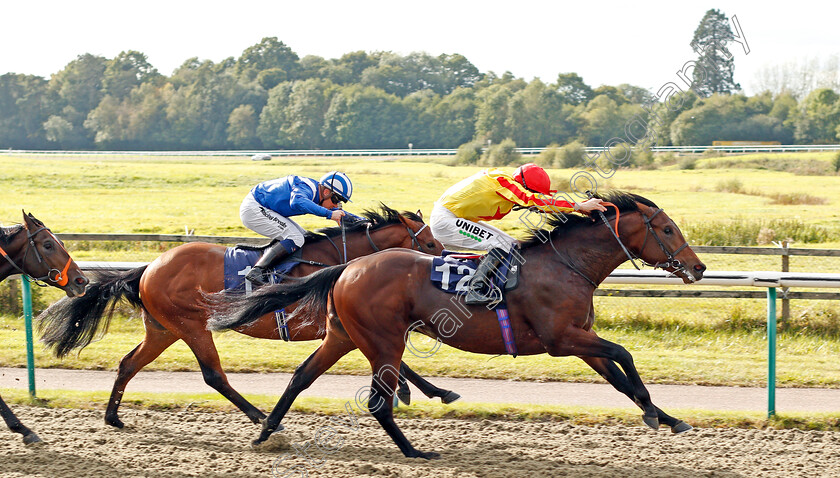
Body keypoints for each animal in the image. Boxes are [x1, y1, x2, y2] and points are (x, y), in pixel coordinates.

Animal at [38, 205, 456, 430]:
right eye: (428, 241)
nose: (444, 263)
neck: (335, 261)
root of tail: (149, 267)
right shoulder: (334, 325)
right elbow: (396, 359)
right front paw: (429, 390)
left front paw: (415, 390)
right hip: (191, 326)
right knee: (213, 375)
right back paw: (261, 416)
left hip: (163, 330)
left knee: (128, 363)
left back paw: (113, 417)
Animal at [207, 192, 704, 458]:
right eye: (668, 229)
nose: (698, 268)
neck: (567, 265)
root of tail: (347, 267)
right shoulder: (562, 339)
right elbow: (625, 355)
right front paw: (655, 413)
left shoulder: (579, 340)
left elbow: (619, 376)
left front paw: (666, 417)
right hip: (384, 341)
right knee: (377, 402)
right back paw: (414, 451)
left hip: (344, 336)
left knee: (300, 377)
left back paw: (266, 433)